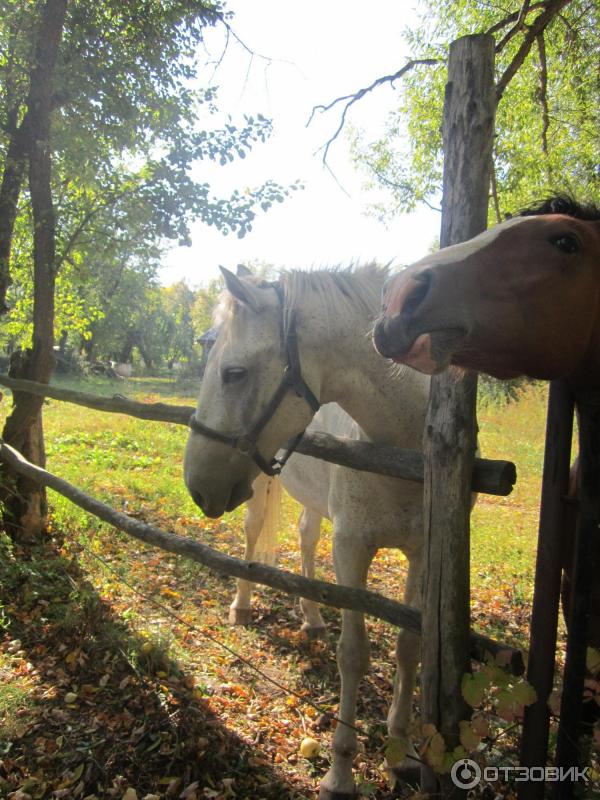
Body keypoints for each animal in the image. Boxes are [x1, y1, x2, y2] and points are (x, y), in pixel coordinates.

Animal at [185, 266, 428, 796]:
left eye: (233, 373)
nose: (195, 485)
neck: (403, 448)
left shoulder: (424, 555)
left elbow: (408, 649)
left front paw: (400, 753)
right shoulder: (352, 550)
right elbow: (354, 654)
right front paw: (340, 773)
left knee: (304, 537)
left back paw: (312, 617)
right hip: (259, 490)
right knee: (254, 533)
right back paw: (243, 605)